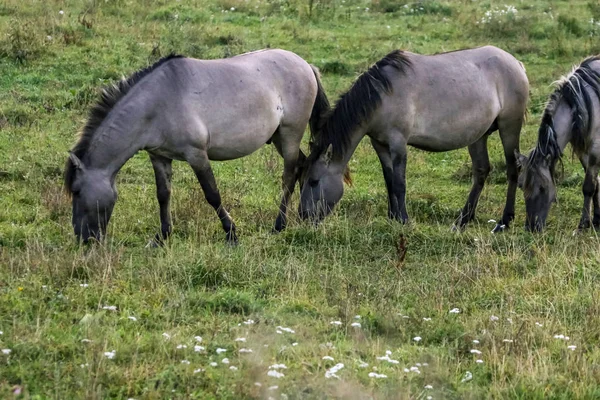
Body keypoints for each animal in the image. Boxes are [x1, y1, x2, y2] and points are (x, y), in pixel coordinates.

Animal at [63, 50, 330, 244]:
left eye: (76, 190)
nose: (83, 239)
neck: (158, 103)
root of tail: (305, 64)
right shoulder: (159, 156)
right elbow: (163, 195)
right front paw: (162, 237)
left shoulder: (197, 155)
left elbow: (212, 194)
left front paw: (231, 233)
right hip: (277, 137)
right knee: (303, 166)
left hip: (290, 135)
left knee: (289, 175)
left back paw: (279, 225)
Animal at [298, 45, 528, 231]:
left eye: (313, 181)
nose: (303, 216)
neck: (383, 95)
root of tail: (516, 63)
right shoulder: (380, 144)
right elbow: (389, 180)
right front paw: (392, 217)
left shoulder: (398, 143)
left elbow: (400, 183)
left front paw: (404, 220)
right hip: (478, 135)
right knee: (481, 171)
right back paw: (462, 221)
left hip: (509, 127)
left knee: (512, 170)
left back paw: (504, 221)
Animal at [516, 55, 600, 233]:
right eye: (520, 185)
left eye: (542, 187)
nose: (531, 227)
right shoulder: (585, 152)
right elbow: (597, 184)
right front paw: (596, 220)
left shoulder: (595, 150)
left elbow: (589, 186)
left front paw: (583, 224)